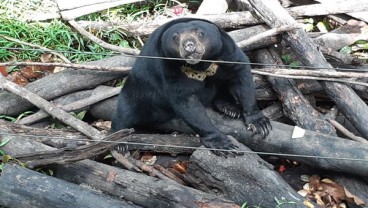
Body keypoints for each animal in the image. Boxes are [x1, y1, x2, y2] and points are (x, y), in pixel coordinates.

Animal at [111, 18, 270, 156]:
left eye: (200, 33)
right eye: (176, 37)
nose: (189, 45)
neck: (201, 65)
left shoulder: (227, 52)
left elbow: (241, 75)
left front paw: (260, 124)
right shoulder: (170, 69)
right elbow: (187, 103)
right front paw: (223, 144)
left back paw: (230, 108)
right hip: (137, 89)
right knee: (125, 111)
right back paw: (120, 142)